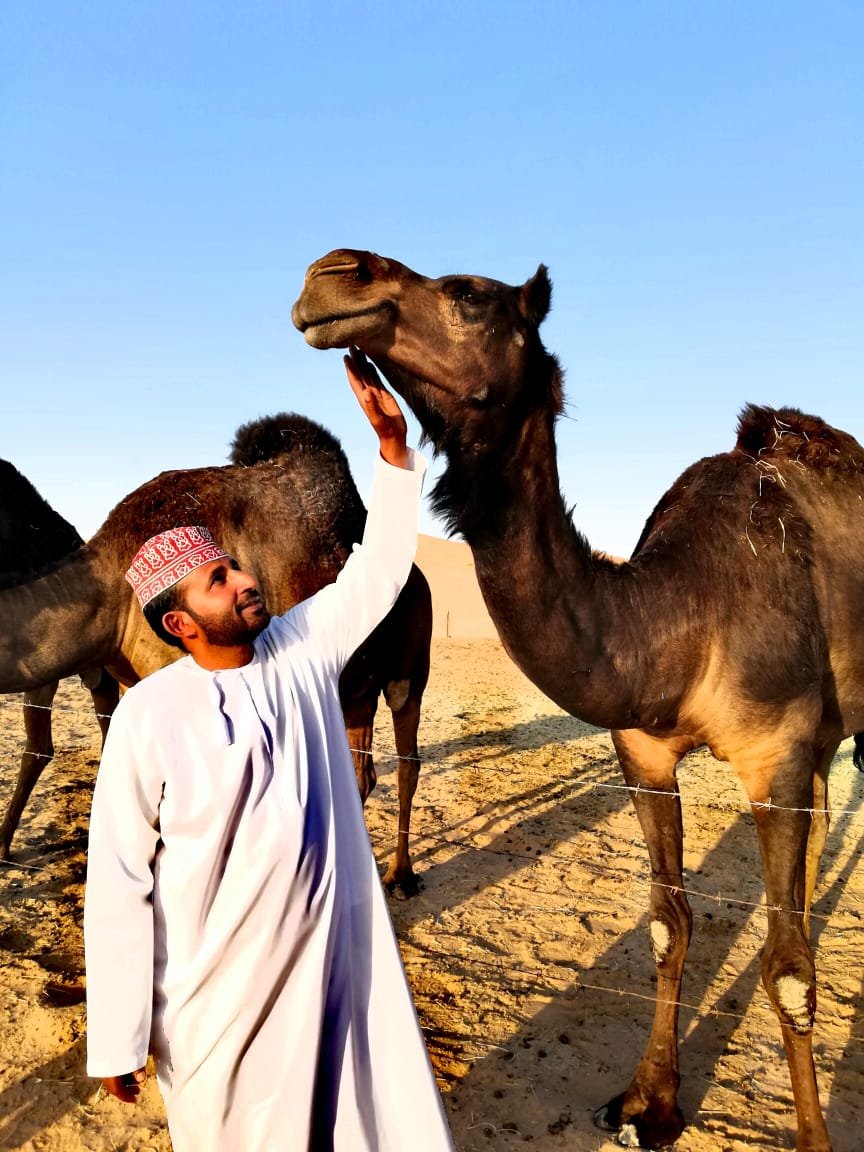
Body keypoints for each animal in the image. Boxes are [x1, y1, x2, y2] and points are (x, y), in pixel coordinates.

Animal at [0, 419, 433, 893]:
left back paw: (401, 875)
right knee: (360, 770)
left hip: (410, 667)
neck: (111, 592)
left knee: (408, 761)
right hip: (356, 686)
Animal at [292, 252, 864, 1152]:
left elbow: (789, 971)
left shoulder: (775, 757)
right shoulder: (644, 752)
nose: (330, 275)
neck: (680, 618)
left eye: (467, 294)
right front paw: (648, 1105)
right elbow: (668, 924)